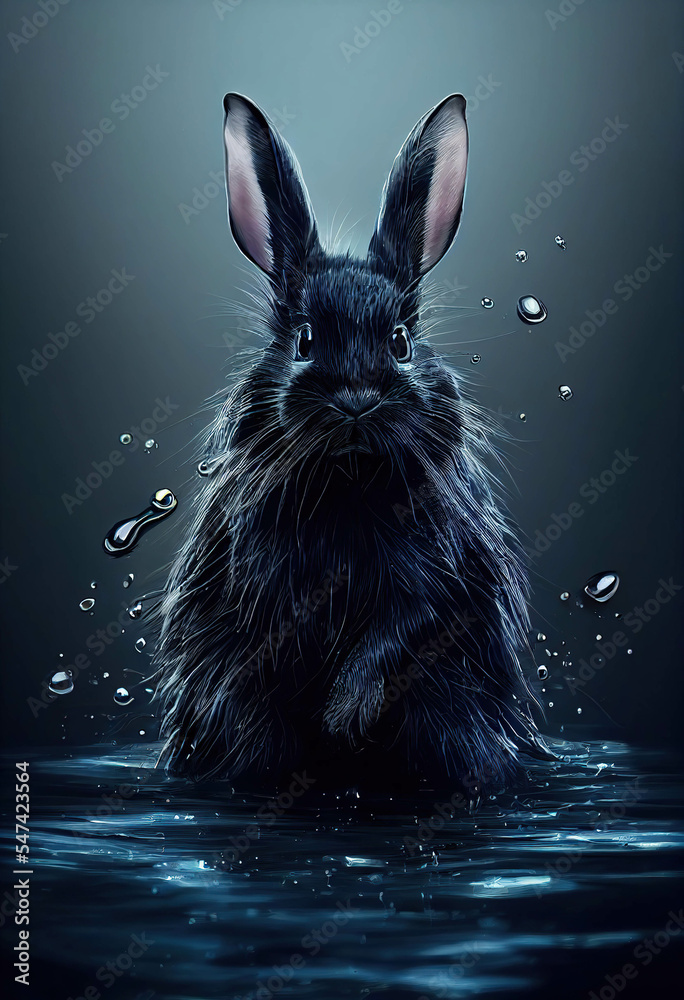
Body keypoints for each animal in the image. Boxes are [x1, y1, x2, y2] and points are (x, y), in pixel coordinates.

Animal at [152, 92, 553, 791]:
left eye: (399, 341)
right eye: (305, 340)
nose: (357, 399)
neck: (349, 479)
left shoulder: (436, 572)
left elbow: (404, 630)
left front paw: (345, 714)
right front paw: (333, 716)